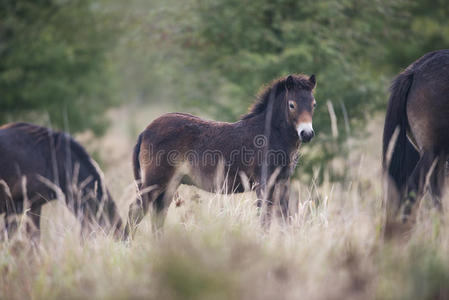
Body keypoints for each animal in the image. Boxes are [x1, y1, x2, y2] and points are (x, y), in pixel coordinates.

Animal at [124, 73, 316, 237]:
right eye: (292, 105)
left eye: (314, 104)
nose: (306, 134)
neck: (269, 133)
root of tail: (145, 131)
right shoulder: (264, 183)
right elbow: (264, 218)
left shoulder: (282, 182)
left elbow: (285, 217)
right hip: (155, 181)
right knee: (136, 210)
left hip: (170, 184)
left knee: (157, 215)